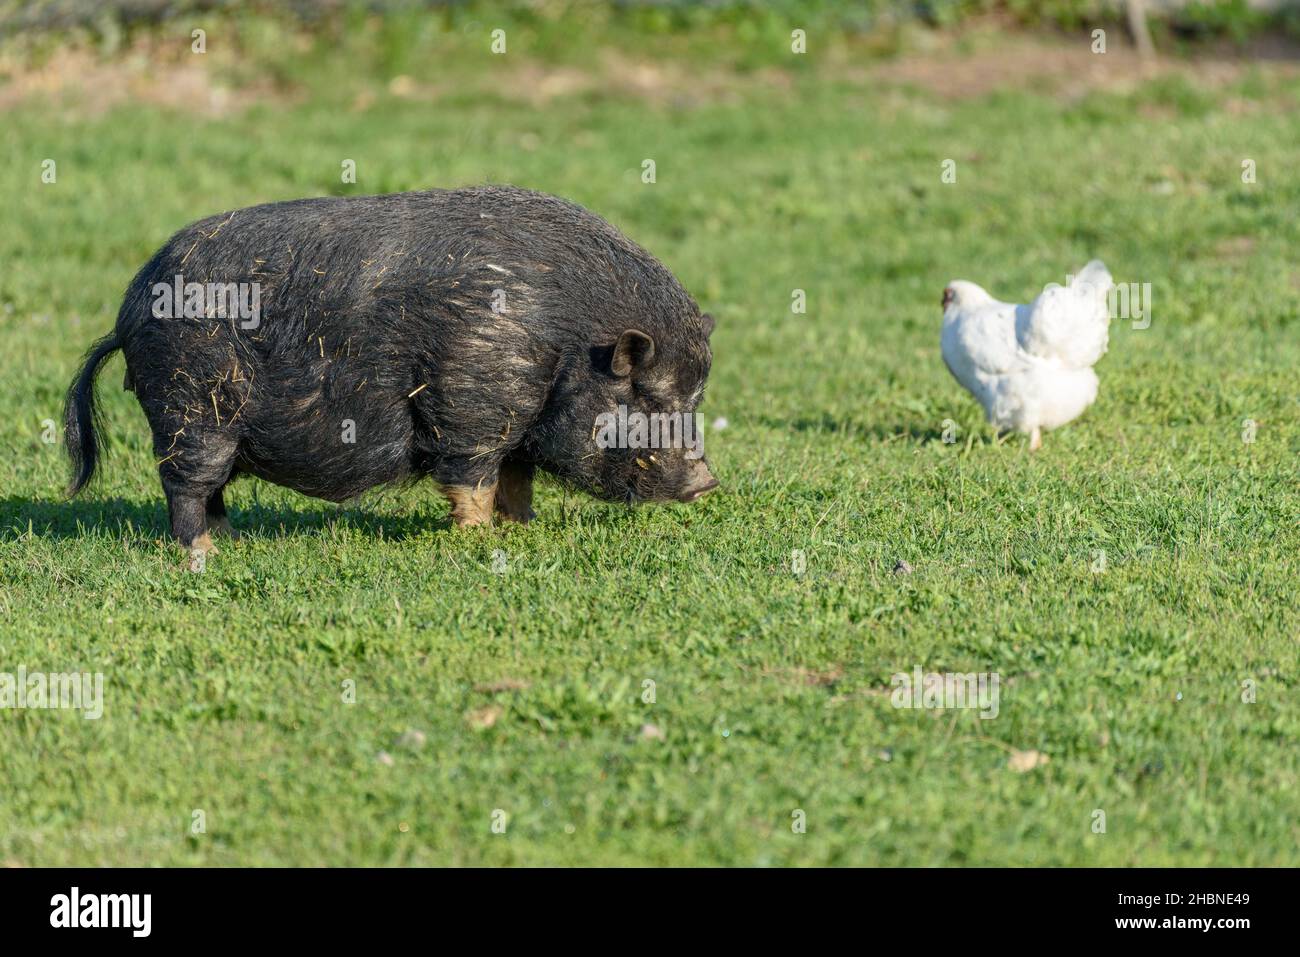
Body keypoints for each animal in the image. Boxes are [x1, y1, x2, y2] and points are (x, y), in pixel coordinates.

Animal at [65, 184, 722, 553]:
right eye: (648, 395)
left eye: (696, 398)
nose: (708, 481)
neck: (567, 339)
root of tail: (126, 311)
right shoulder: (472, 402)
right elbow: (472, 480)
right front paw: (477, 542)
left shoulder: (517, 423)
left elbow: (517, 480)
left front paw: (521, 530)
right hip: (191, 407)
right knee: (185, 484)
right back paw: (203, 553)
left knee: (213, 487)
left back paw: (232, 539)